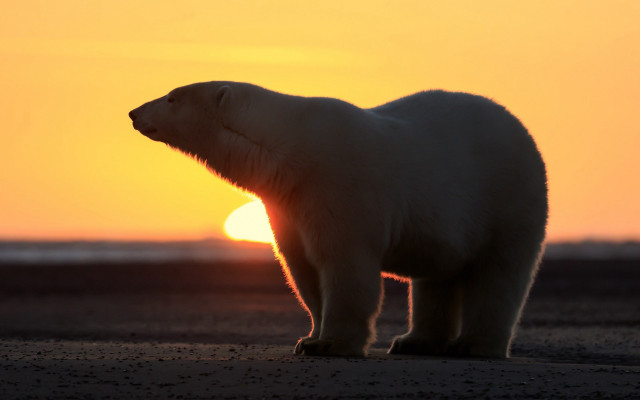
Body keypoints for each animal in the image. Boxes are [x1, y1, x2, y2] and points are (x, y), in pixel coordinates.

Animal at [129, 81, 548, 358]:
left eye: (171, 97)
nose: (133, 112)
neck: (290, 148)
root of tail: (523, 130)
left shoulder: (338, 183)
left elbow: (344, 265)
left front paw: (332, 344)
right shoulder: (287, 202)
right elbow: (302, 268)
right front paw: (309, 338)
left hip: (508, 197)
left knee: (500, 273)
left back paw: (474, 345)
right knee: (436, 277)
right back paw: (414, 341)